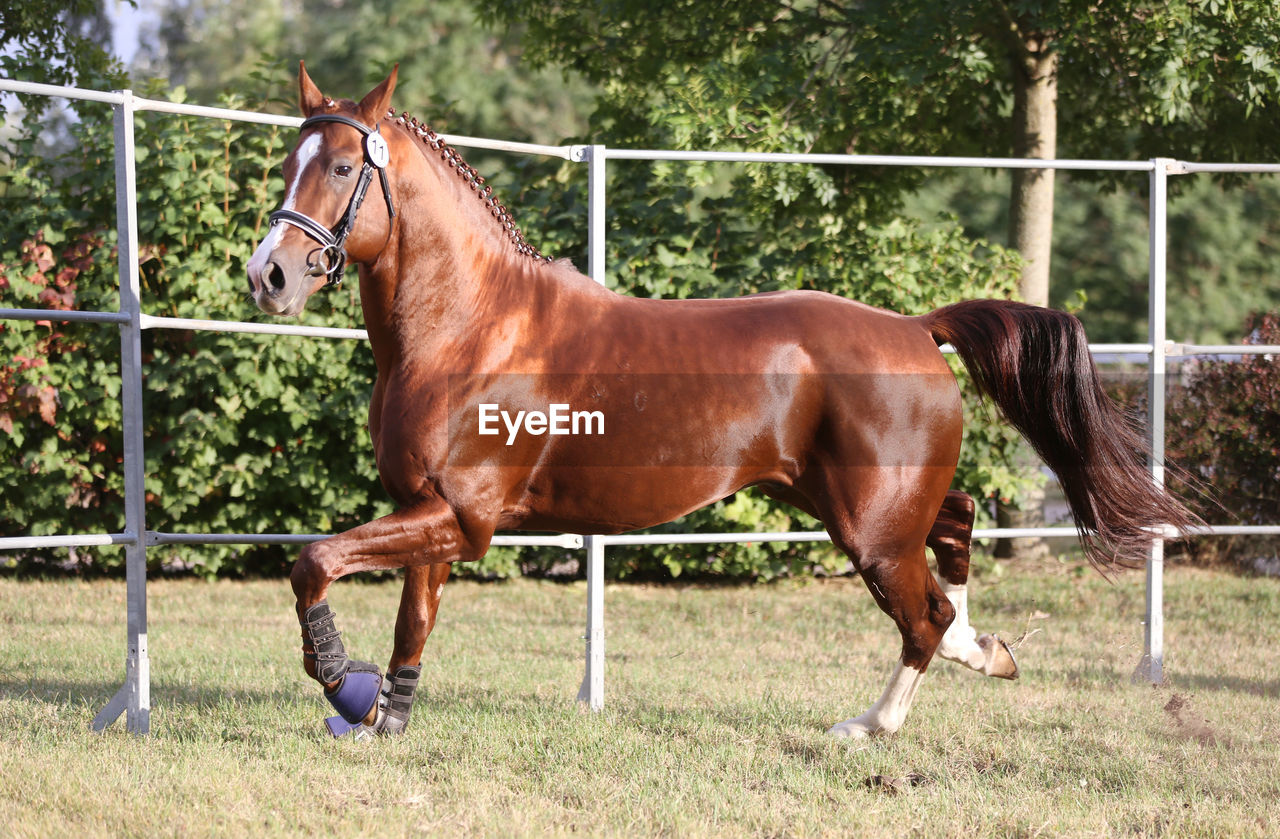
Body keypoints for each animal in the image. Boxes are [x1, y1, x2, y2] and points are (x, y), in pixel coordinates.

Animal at [247, 64, 1187, 737]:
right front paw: (386, 715)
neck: (474, 329)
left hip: (871, 525)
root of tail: (916, 329)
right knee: (954, 532)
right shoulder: (431, 509)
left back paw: (870, 725)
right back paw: (984, 651)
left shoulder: (462, 518)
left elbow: (313, 562)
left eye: (340, 166)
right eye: (290, 164)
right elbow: (413, 620)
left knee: (923, 612)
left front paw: (343, 685)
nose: (270, 274)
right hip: (848, 497)